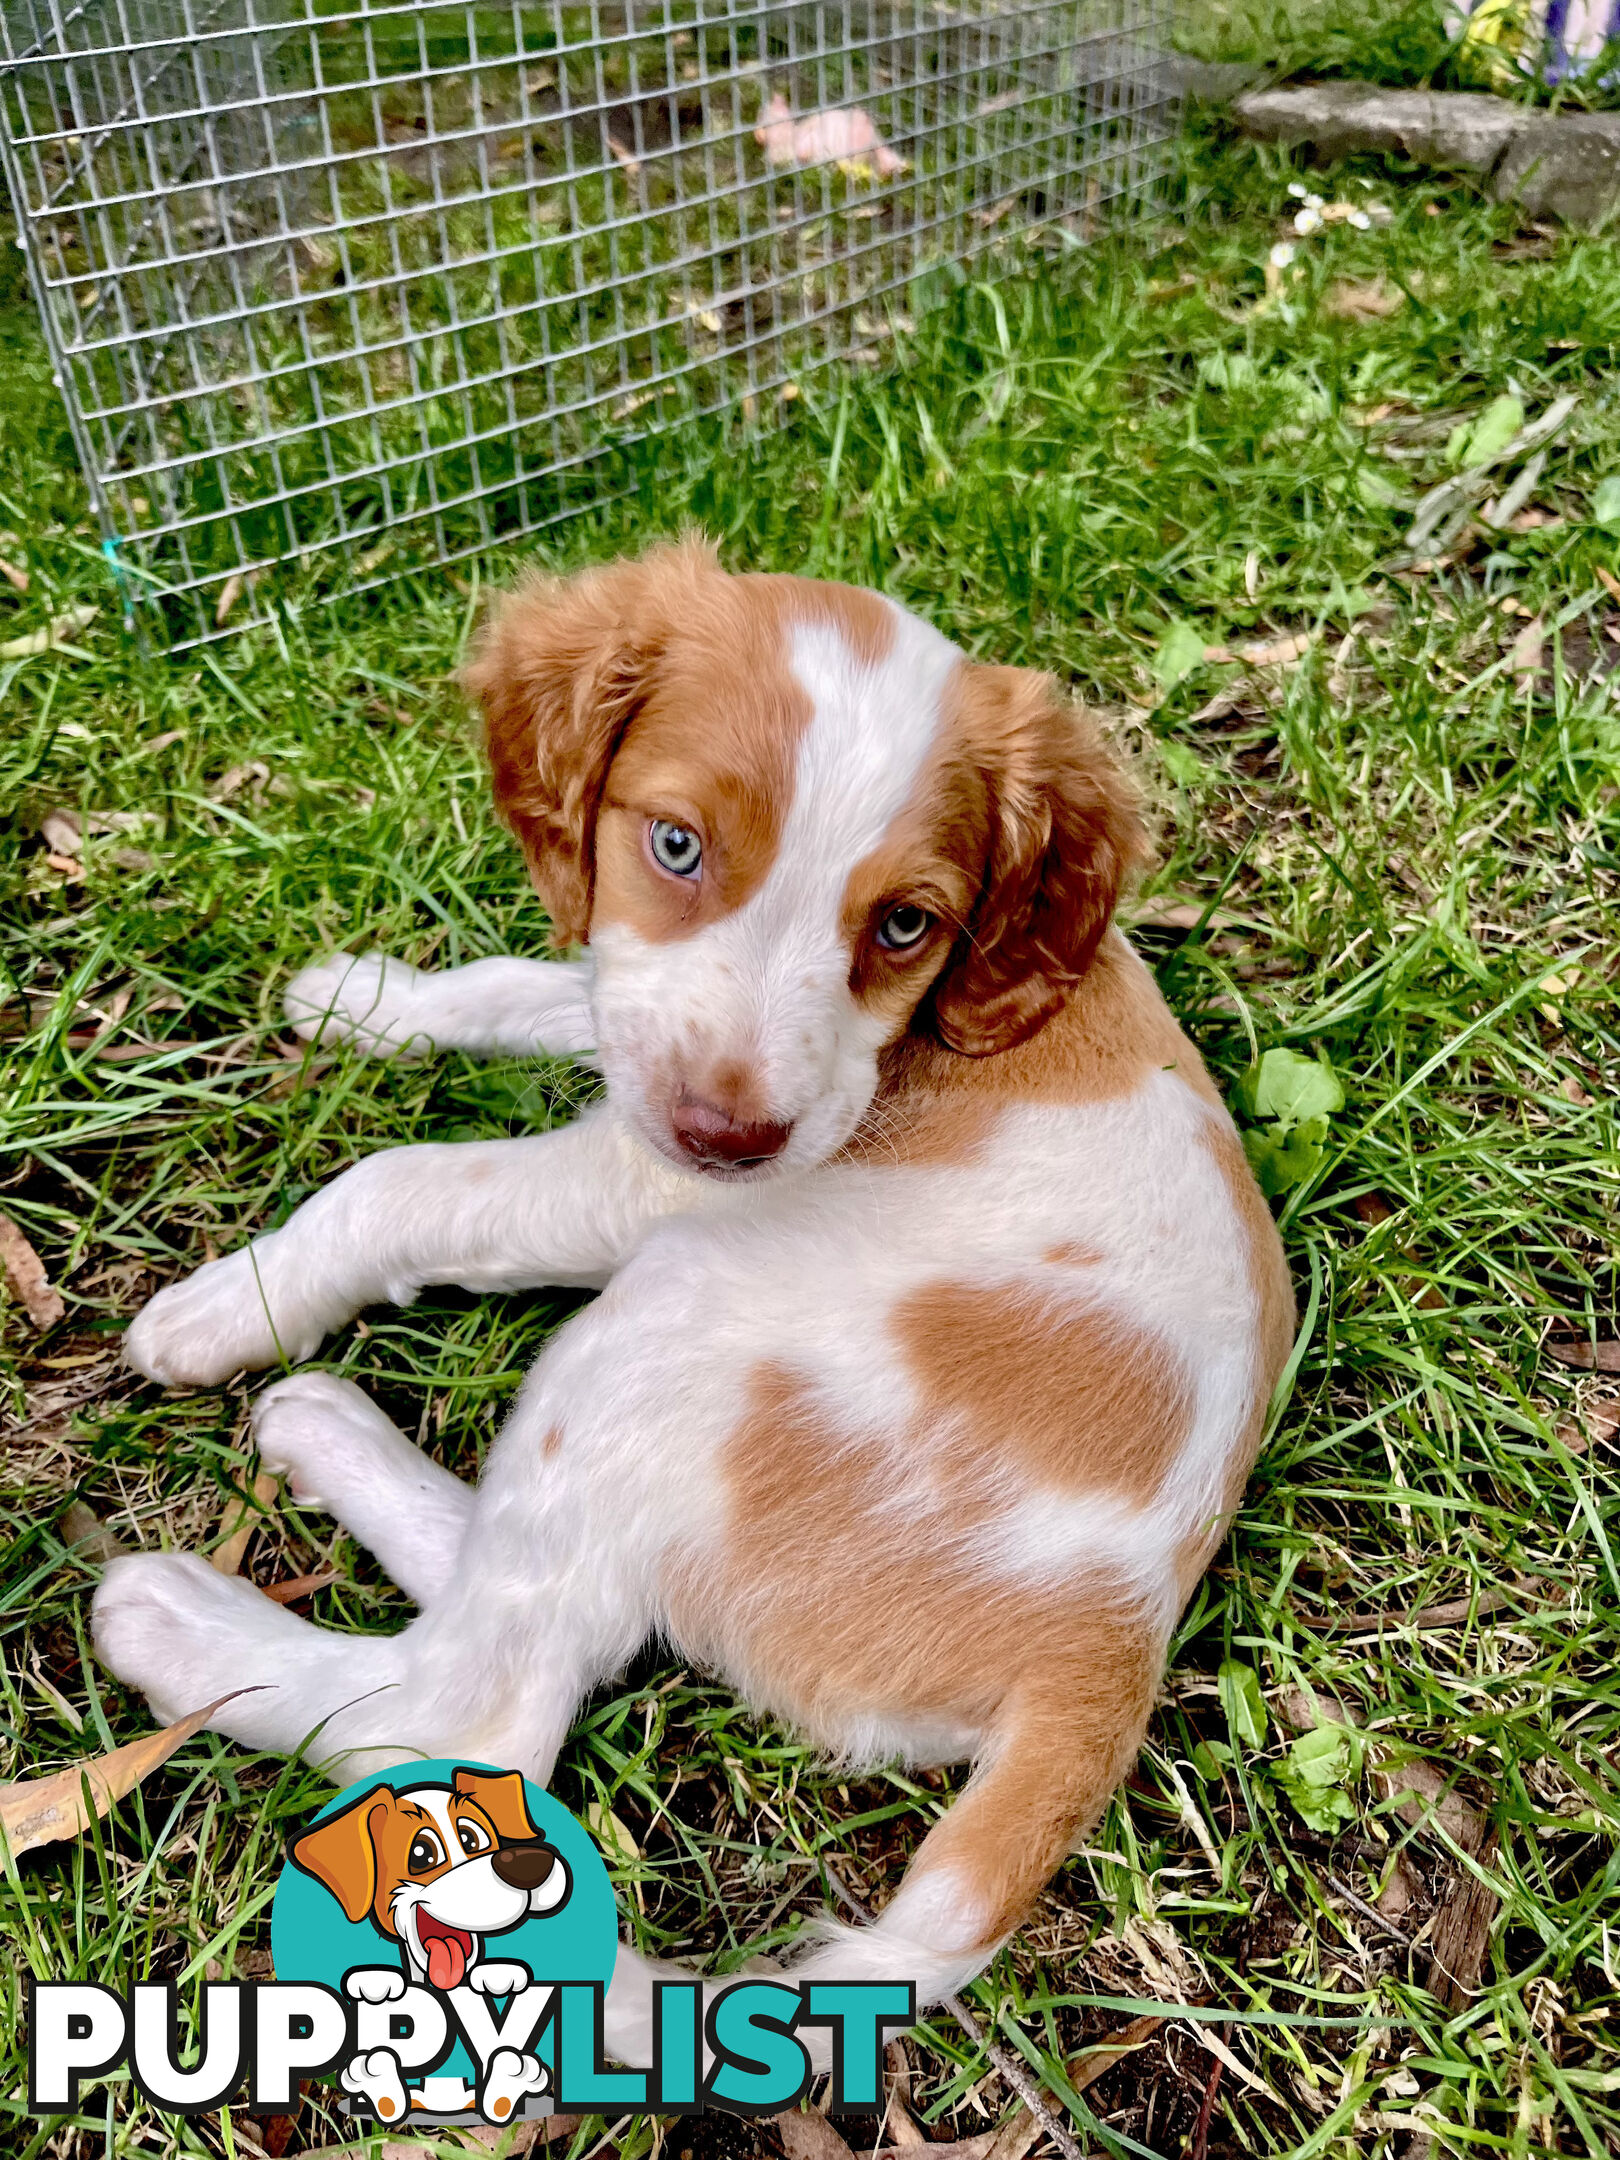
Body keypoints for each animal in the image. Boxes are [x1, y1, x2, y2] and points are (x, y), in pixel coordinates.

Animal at [98, 540, 1296, 2056]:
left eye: (906, 925)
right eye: (674, 848)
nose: (734, 1142)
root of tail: (1108, 1652)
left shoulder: (647, 1185)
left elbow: (404, 1182)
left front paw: (229, 1303)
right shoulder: (634, 1011)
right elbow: (536, 983)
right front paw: (373, 1000)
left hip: (681, 1319)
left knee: (463, 1710)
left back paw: (190, 1631)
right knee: (569, 1606)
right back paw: (325, 1434)